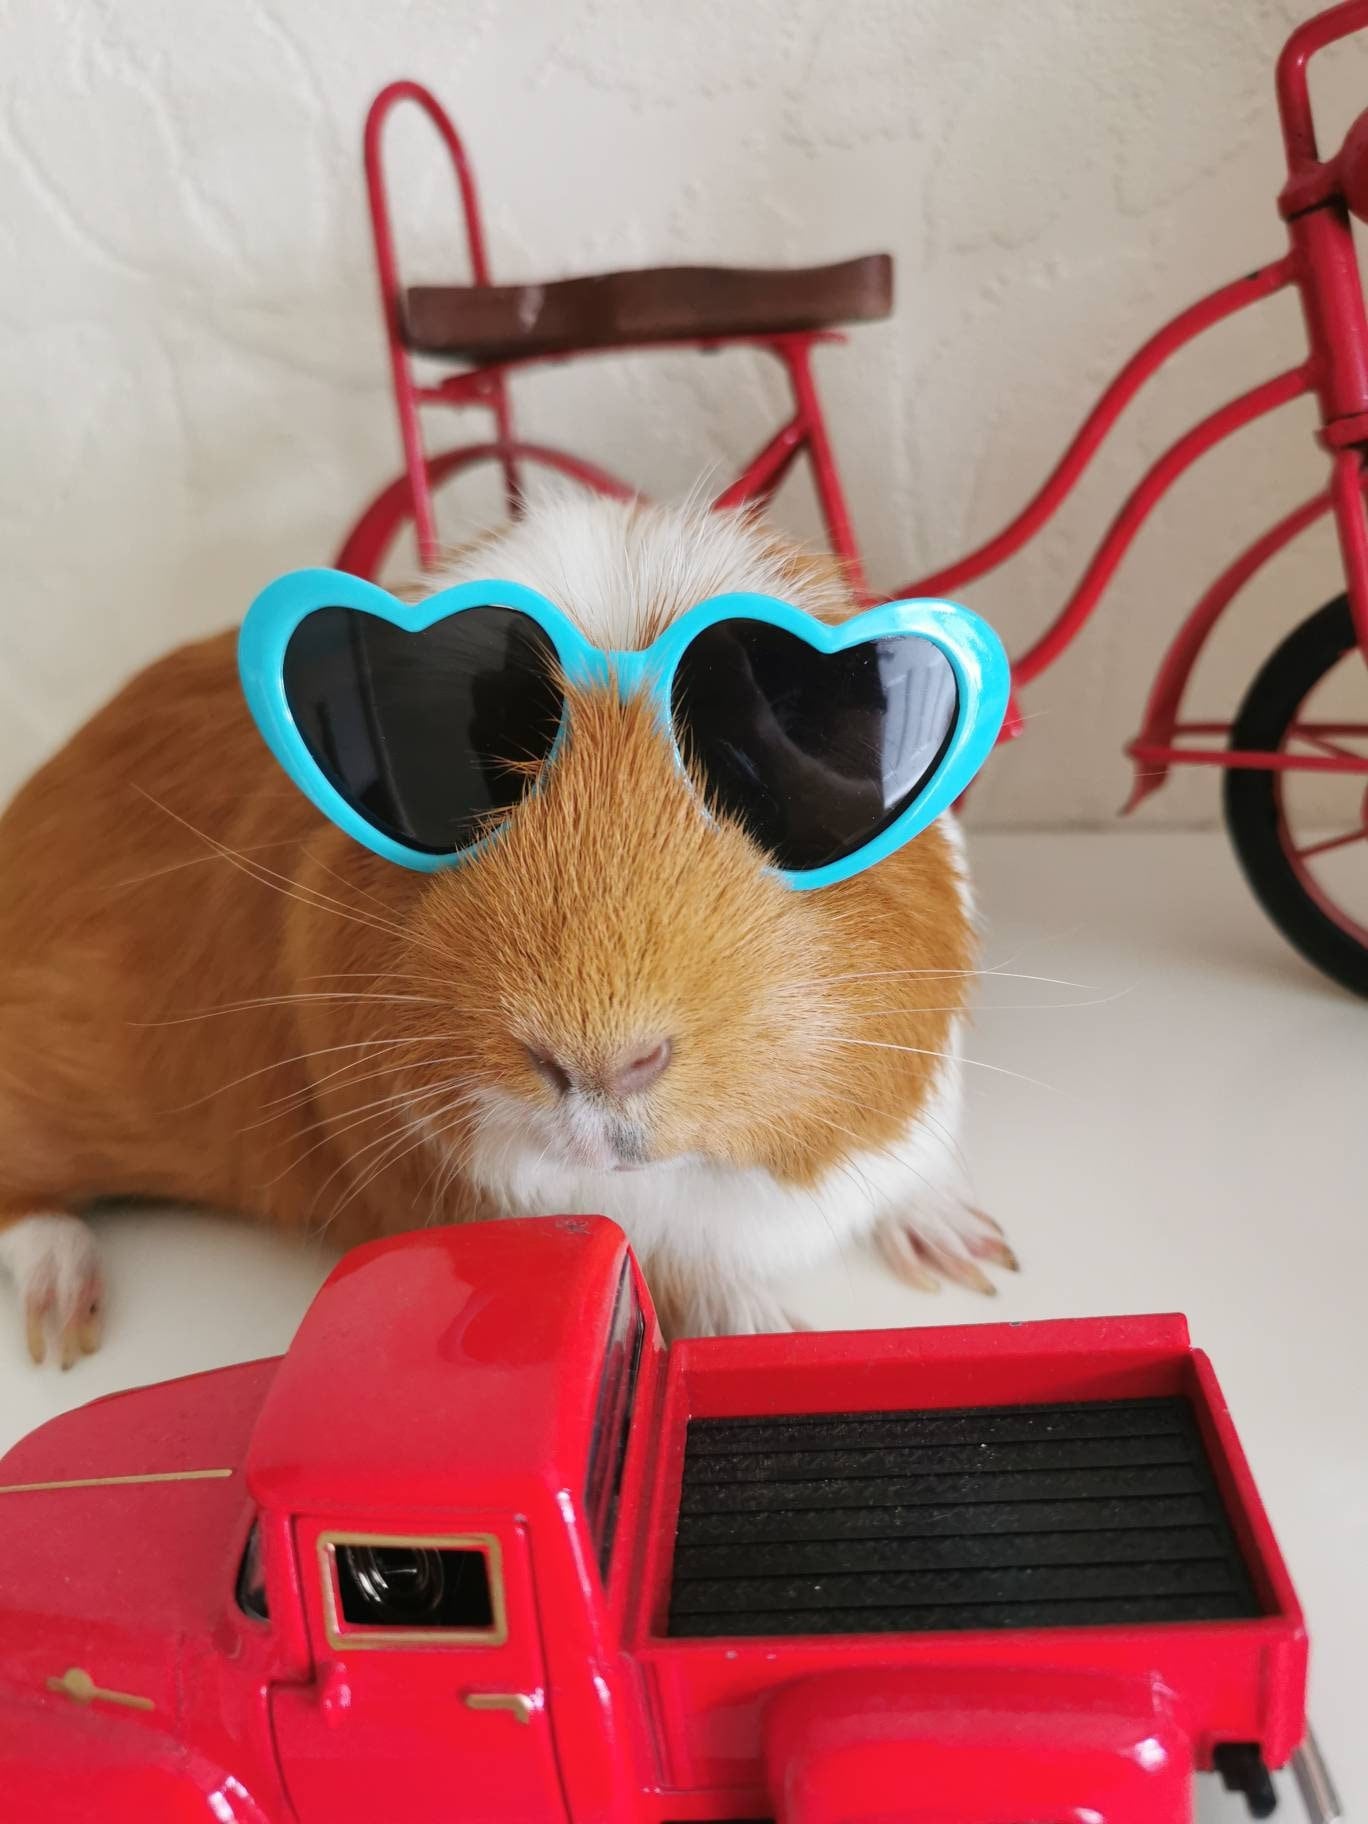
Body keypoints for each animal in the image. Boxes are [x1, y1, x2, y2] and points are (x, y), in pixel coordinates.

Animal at [0, 494, 1014, 1367]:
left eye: (762, 779)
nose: (598, 1063)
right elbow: (689, 1276)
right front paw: (774, 1333)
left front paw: (980, 1258)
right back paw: (64, 1322)